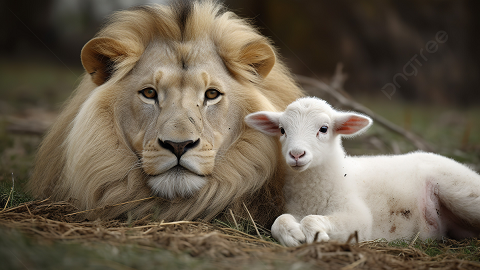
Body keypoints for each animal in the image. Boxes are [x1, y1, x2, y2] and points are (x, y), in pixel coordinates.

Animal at [246, 97, 480, 247]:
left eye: (324, 128)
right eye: (282, 130)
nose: (296, 154)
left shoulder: (358, 217)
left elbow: (312, 219)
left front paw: (316, 234)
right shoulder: (295, 209)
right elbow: (279, 220)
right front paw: (292, 235)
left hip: (462, 191)